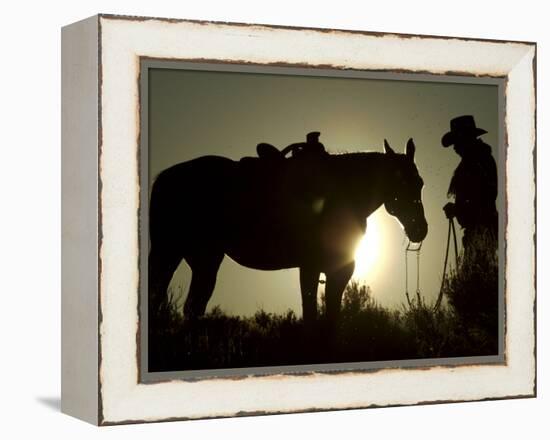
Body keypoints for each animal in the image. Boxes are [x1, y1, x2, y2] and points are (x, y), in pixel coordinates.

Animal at [149, 139, 430, 324]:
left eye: (420, 183)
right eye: (402, 181)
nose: (420, 229)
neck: (341, 193)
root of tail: (167, 176)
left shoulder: (339, 270)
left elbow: (331, 319)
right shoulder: (310, 267)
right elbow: (311, 316)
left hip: (201, 259)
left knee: (191, 306)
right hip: (175, 254)